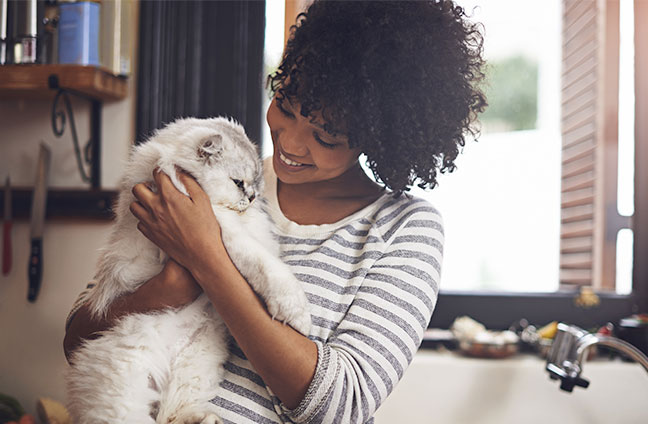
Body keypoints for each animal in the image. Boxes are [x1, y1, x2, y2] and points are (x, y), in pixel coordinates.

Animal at [66, 117, 312, 424]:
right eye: (238, 183)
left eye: (256, 184)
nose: (253, 197)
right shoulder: (221, 232)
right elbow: (267, 268)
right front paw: (297, 315)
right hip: (125, 383)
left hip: (197, 363)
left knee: (173, 412)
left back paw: (205, 418)